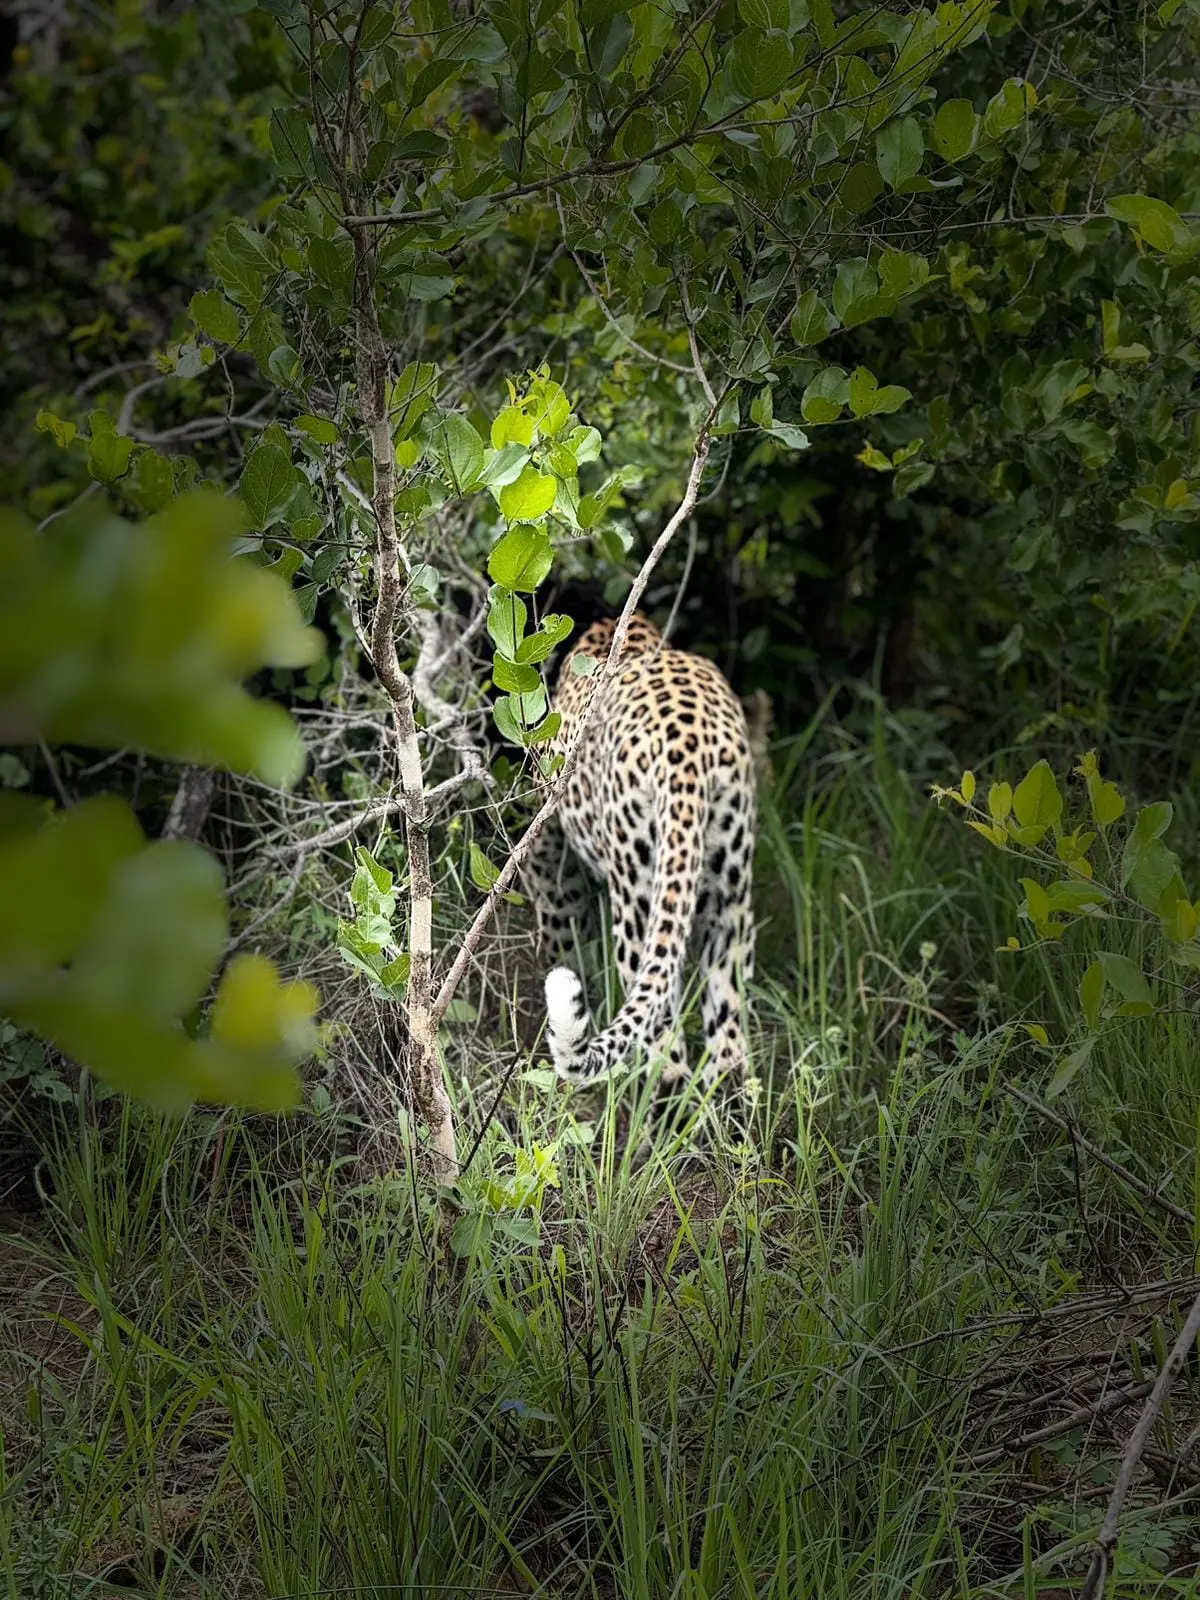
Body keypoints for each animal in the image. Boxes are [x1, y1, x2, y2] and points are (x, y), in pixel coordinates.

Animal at [522, 611, 756, 1093]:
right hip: (731, 899)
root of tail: (689, 756)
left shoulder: (550, 855)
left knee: (665, 1055)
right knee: (728, 1051)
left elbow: (560, 934)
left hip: (639, 894)